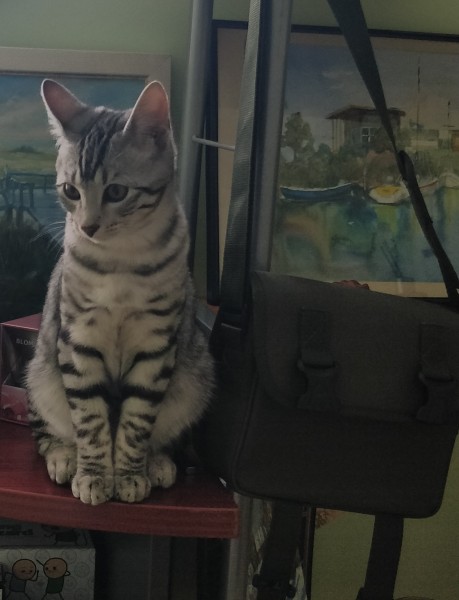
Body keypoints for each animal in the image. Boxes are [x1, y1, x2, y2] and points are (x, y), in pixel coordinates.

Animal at [26, 79, 214, 506]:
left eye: (115, 192)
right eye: (70, 191)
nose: (87, 226)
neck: (121, 262)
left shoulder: (155, 346)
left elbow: (135, 421)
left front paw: (128, 475)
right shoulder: (78, 341)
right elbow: (91, 421)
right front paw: (95, 476)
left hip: (194, 380)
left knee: (161, 433)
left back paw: (156, 463)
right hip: (40, 374)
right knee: (47, 431)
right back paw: (65, 457)